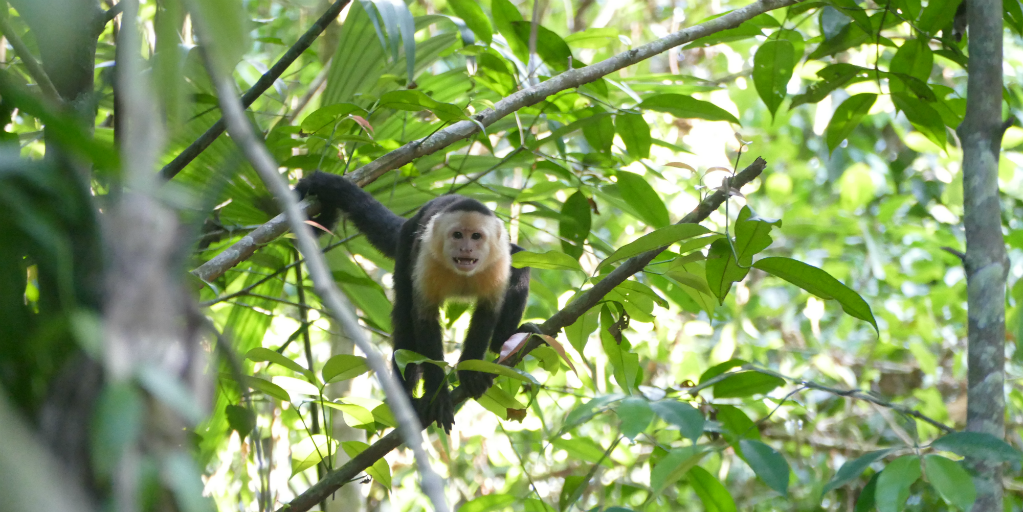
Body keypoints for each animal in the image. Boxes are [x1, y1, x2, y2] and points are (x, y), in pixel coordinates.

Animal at [296, 171, 536, 432]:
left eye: (476, 236)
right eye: (457, 235)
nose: (466, 248)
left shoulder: (497, 261)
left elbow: (487, 312)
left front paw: (470, 371)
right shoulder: (427, 257)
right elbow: (424, 319)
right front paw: (437, 395)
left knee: (521, 264)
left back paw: (504, 340)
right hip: (407, 240)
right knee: (403, 314)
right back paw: (406, 400)